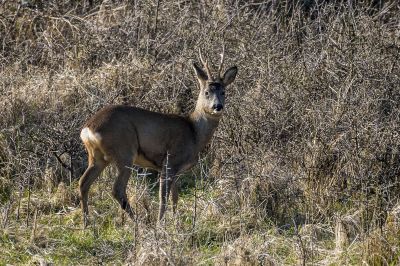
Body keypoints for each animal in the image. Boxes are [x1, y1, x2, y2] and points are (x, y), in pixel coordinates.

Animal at [78, 48, 238, 225]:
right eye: (207, 92)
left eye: (223, 92)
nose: (218, 106)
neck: (194, 133)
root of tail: (88, 129)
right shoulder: (170, 161)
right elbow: (164, 198)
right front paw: (160, 223)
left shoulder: (178, 171)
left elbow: (175, 197)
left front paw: (176, 222)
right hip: (124, 151)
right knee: (117, 189)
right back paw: (137, 222)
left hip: (97, 157)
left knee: (83, 183)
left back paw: (86, 223)